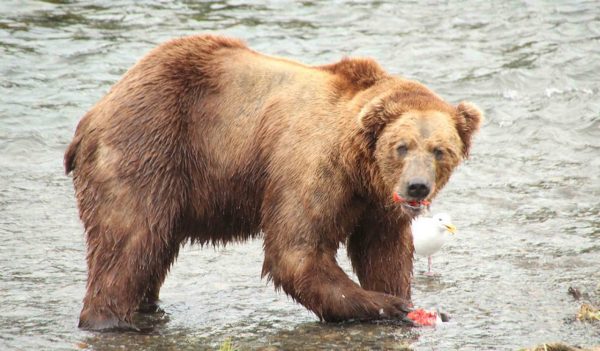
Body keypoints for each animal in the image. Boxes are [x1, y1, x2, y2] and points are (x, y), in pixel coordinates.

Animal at [64, 33, 482, 330]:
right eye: (401, 146)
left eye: (440, 150)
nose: (417, 187)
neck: (358, 165)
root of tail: (95, 111)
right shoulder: (310, 165)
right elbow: (296, 251)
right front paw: (388, 304)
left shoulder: (376, 201)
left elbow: (384, 250)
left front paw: (405, 299)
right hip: (149, 148)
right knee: (130, 240)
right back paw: (113, 320)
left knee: (152, 250)